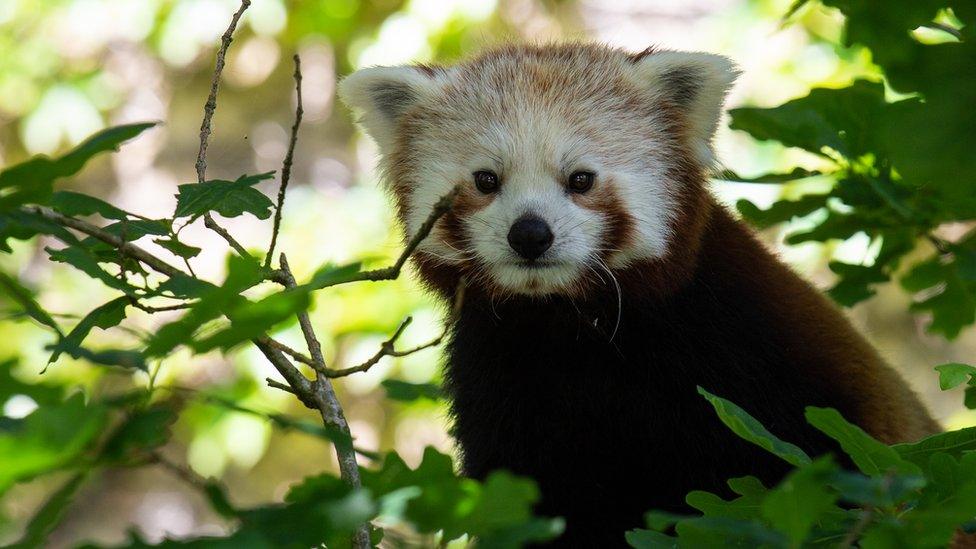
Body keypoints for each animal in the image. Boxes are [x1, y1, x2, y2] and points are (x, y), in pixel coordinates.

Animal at [340, 44, 940, 548]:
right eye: (486, 180)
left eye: (580, 179)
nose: (530, 234)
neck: (574, 328)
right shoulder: (498, 385)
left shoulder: (765, 351)